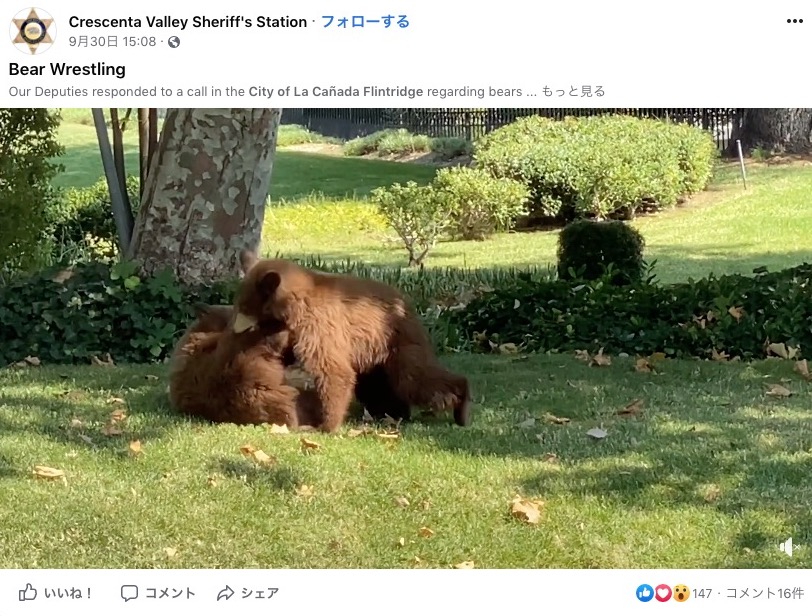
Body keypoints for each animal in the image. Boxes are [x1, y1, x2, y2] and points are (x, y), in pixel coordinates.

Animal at [230, 250, 470, 434]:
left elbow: (333, 371)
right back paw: (391, 413)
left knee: (414, 377)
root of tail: (407, 303)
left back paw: (461, 405)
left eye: (245, 307)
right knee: (378, 386)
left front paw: (324, 425)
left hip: (396, 341)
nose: (234, 330)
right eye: (239, 304)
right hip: (373, 354)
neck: (295, 304)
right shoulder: (295, 330)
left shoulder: (320, 325)